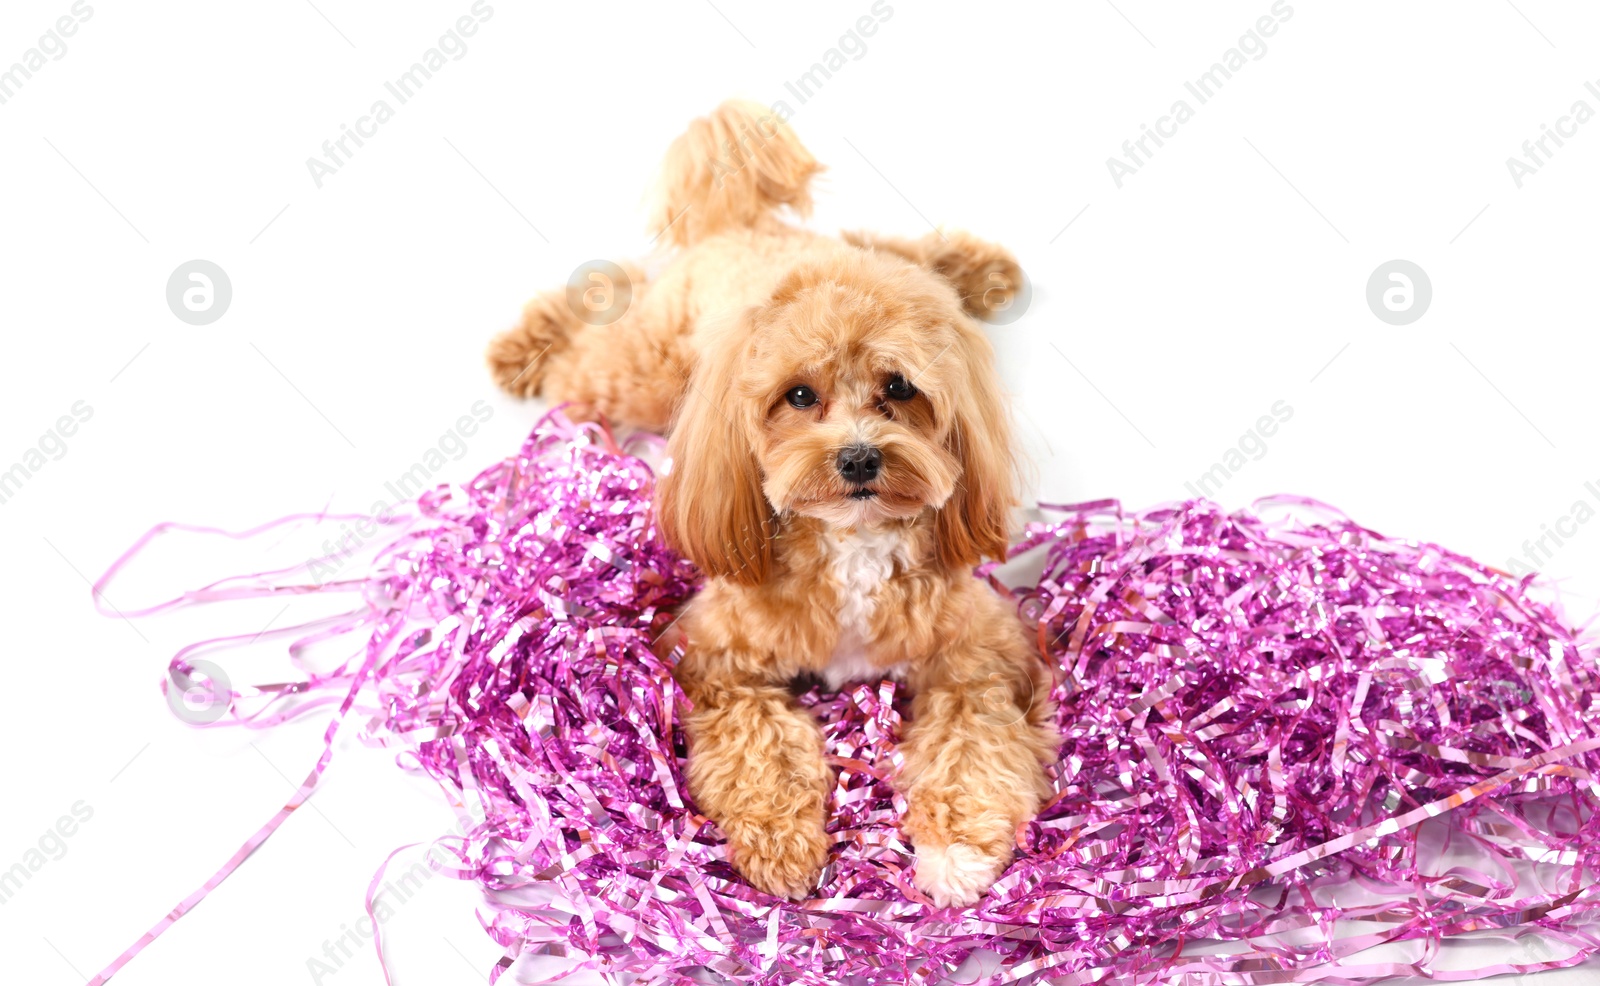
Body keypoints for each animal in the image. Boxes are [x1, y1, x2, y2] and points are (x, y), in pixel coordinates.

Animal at [486, 100, 1062, 909]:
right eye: (798, 396)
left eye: (898, 387)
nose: (858, 457)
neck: (853, 545)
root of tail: (739, 225)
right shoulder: (713, 657)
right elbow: (759, 741)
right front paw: (782, 845)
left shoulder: (981, 654)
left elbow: (973, 739)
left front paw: (957, 851)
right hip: (644, 375)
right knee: (597, 320)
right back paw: (526, 345)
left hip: (861, 259)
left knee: (896, 248)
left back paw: (978, 270)